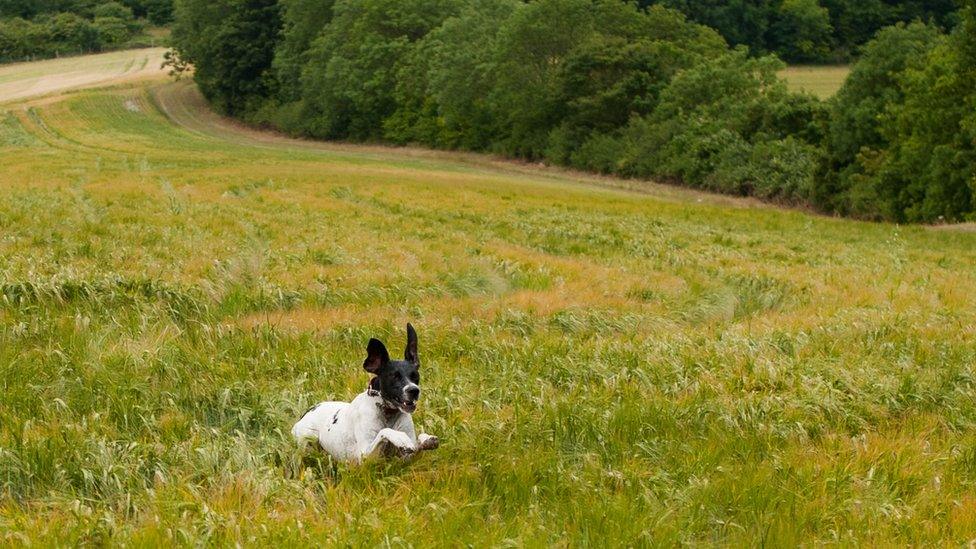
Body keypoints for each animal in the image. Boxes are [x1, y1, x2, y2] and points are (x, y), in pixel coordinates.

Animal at [292, 324, 440, 460]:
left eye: (415, 376)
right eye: (394, 376)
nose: (414, 390)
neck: (386, 411)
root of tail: (307, 412)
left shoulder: (406, 457)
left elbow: (417, 443)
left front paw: (426, 439)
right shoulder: (364, 456)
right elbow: (385, 431)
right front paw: (400, 438)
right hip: (308, 438)